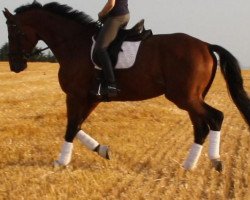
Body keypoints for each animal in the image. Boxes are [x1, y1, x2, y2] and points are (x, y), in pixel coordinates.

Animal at [2, 1, 250, 171]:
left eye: (14, 30)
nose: (15, 65)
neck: (73, 43)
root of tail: (206, 45)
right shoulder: (91, 97)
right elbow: (78, 125)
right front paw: (102, 150)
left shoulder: (75, 95)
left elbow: (71, 126)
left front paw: (61, 161)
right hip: (191, 98)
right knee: (201, 126)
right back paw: (188, 166)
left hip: (185, 97)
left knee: (215, 118)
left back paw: (215, 161)